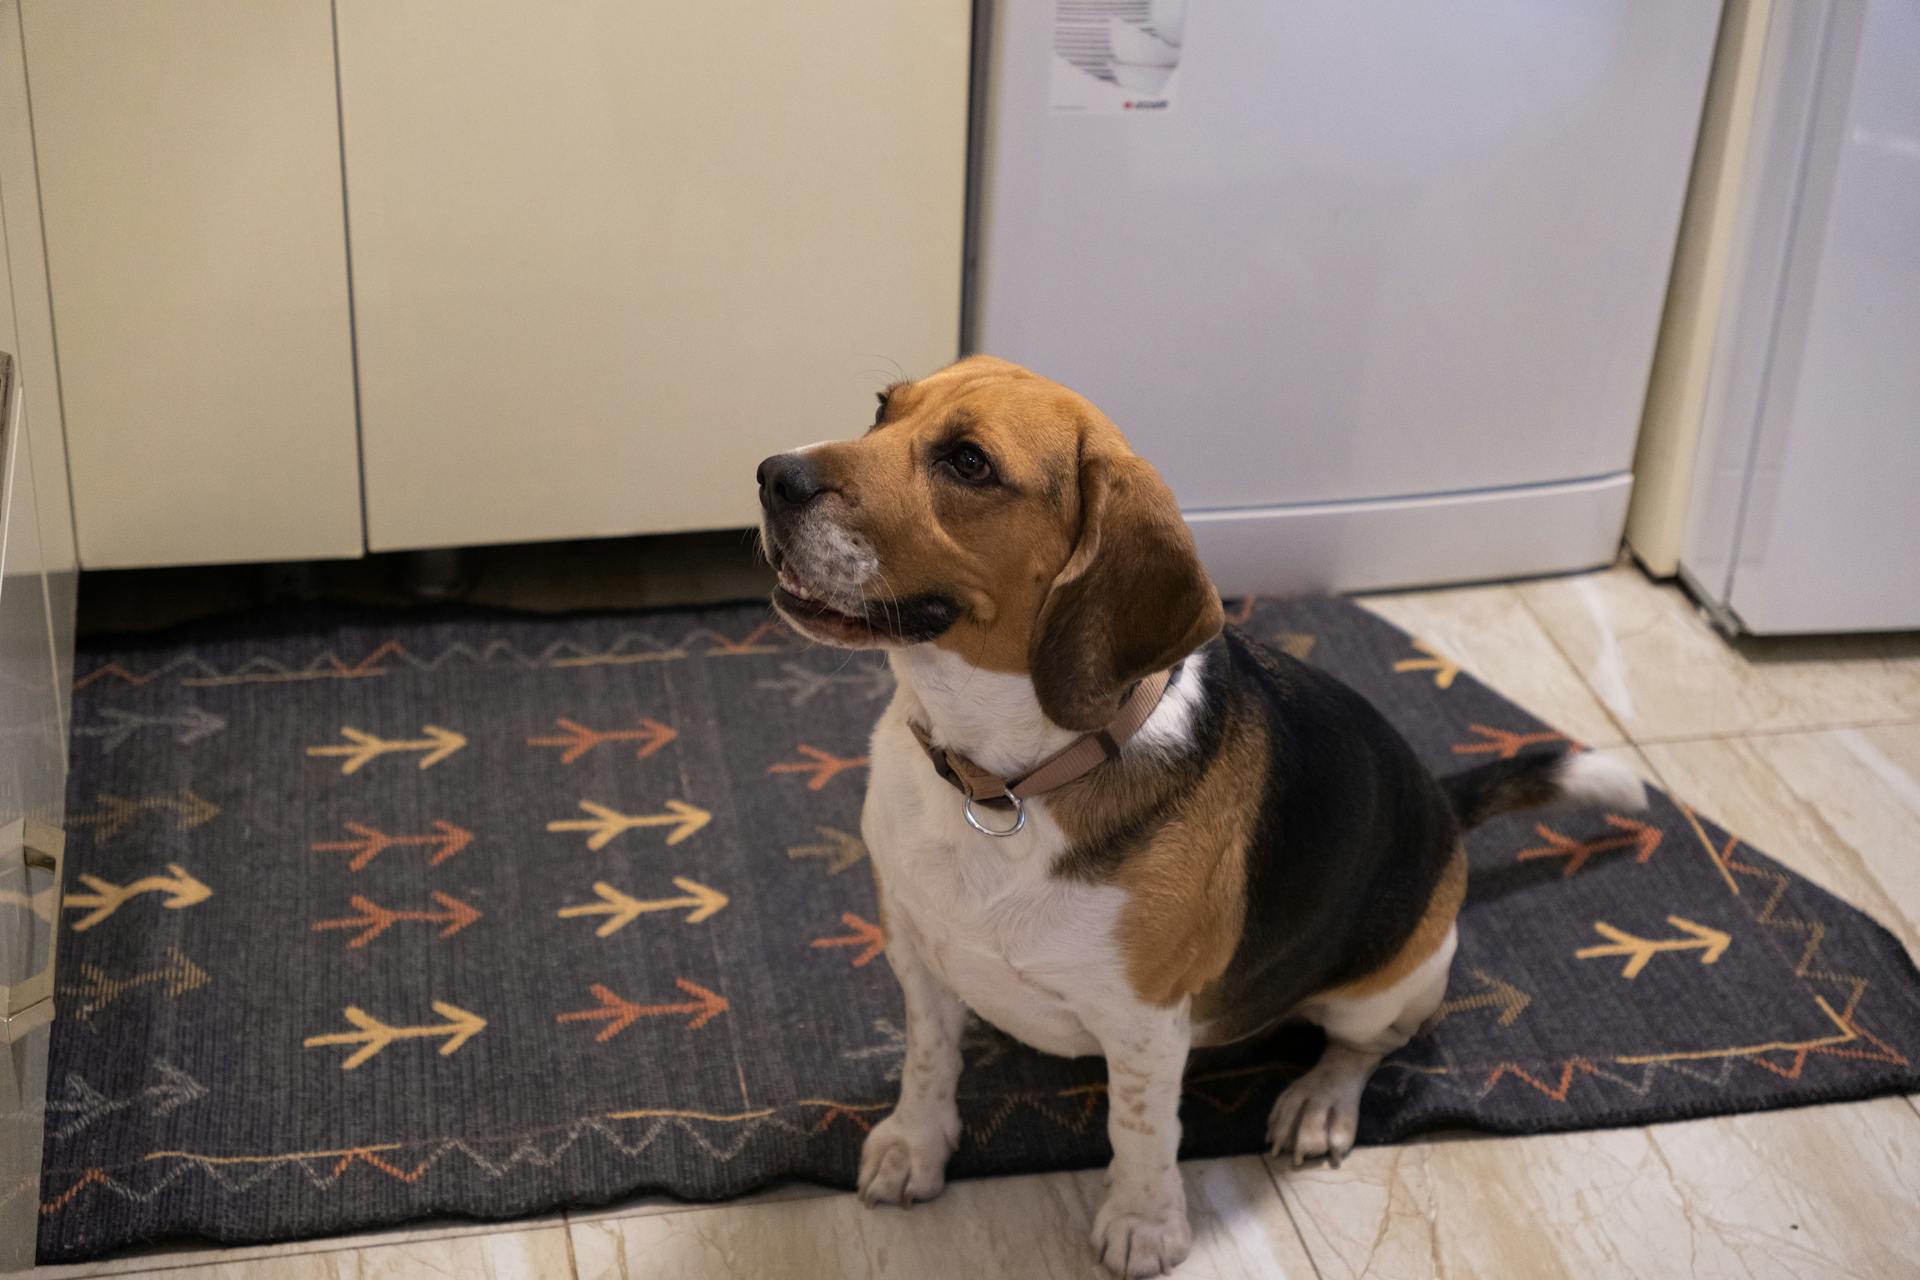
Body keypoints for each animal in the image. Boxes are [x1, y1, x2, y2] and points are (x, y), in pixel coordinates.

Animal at [756, 355, 1643, 1274]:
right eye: (881, 411)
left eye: (969, 463)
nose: (773, 477)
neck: (999, 782)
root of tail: (1439, 798)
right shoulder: (915, 948)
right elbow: (928, 1059)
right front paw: (914, 1145)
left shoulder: (1145, 1020)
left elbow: (1142, 1128)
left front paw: (1144, 1223)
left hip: (1390, 981)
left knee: (1368, 1046)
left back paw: (1320, 1102)